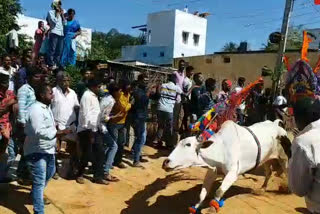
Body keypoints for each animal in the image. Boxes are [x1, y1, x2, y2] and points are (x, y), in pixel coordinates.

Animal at [162, 119, 290, 213]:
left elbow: (219, 191)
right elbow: (202, 194)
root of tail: (276, 124)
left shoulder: (233, 173)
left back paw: (287, 190)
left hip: (284, 158)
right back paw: (262, 189)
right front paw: (195, 207)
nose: (166, 162)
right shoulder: (212, 171)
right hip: (266, 160)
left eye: (188, 145)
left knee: (287, 172)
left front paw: (212, 208)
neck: (220, 148)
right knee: (268, 173)